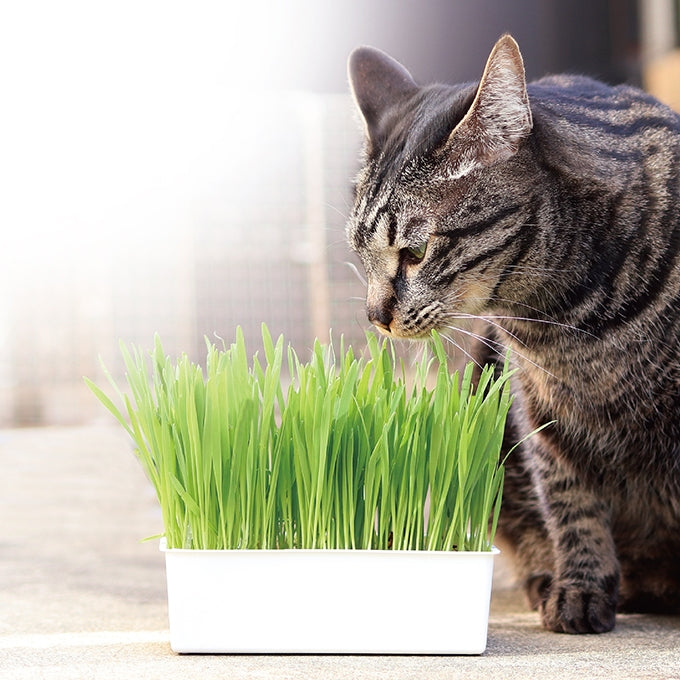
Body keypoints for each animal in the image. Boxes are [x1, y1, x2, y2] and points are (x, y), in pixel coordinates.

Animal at [346, 34, 680, 636]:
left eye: (415, 252)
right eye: (361, 254)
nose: (374, 316)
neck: (571, 324)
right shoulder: (539, 411)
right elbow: (571, 505)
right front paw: (579, 589)